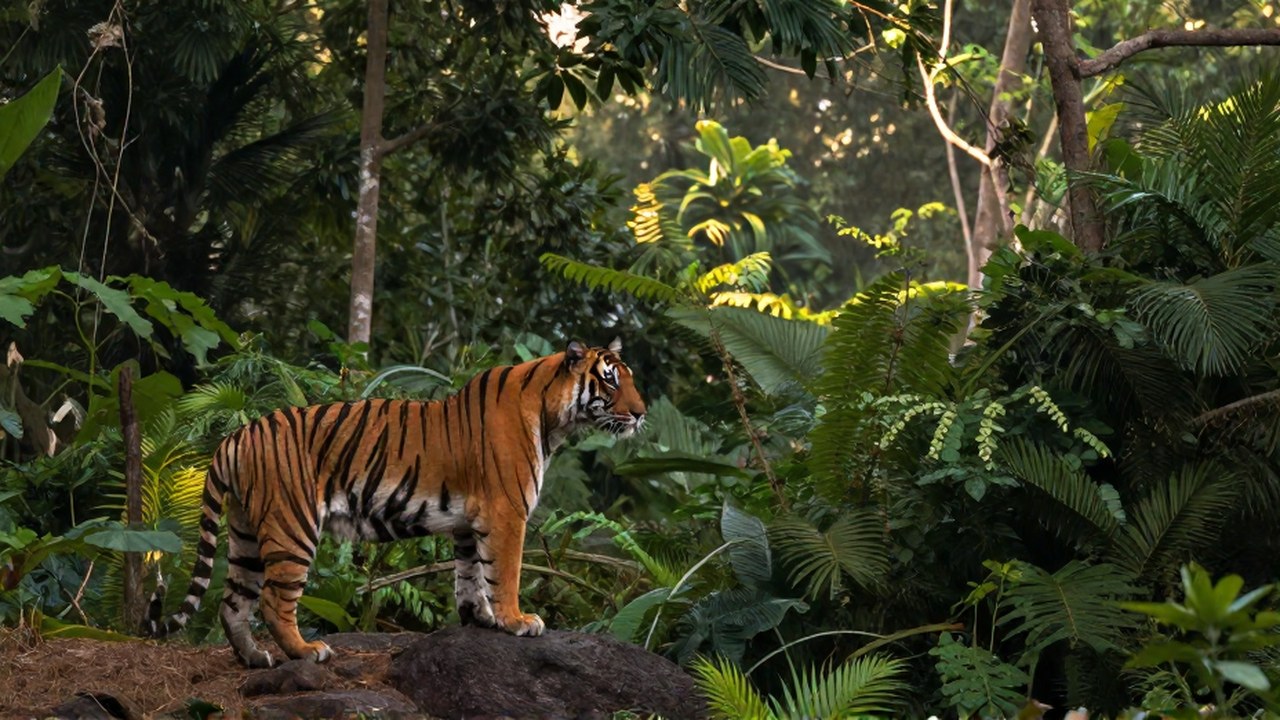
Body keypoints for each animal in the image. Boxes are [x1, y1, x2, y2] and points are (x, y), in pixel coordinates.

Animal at [143, 339, 645, 668]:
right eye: (609, 381)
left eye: (630, 379)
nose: (641, 414)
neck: (553, 416)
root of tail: (236, 435)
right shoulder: (507, 512)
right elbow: (504, 572)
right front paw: (517, 620)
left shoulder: (469, 521)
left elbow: (470, 574)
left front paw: (480, 619)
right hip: (292, 525)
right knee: (272, 600)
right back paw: (306, 652)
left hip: (245, 529)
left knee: (233, 602)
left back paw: (255, 658)